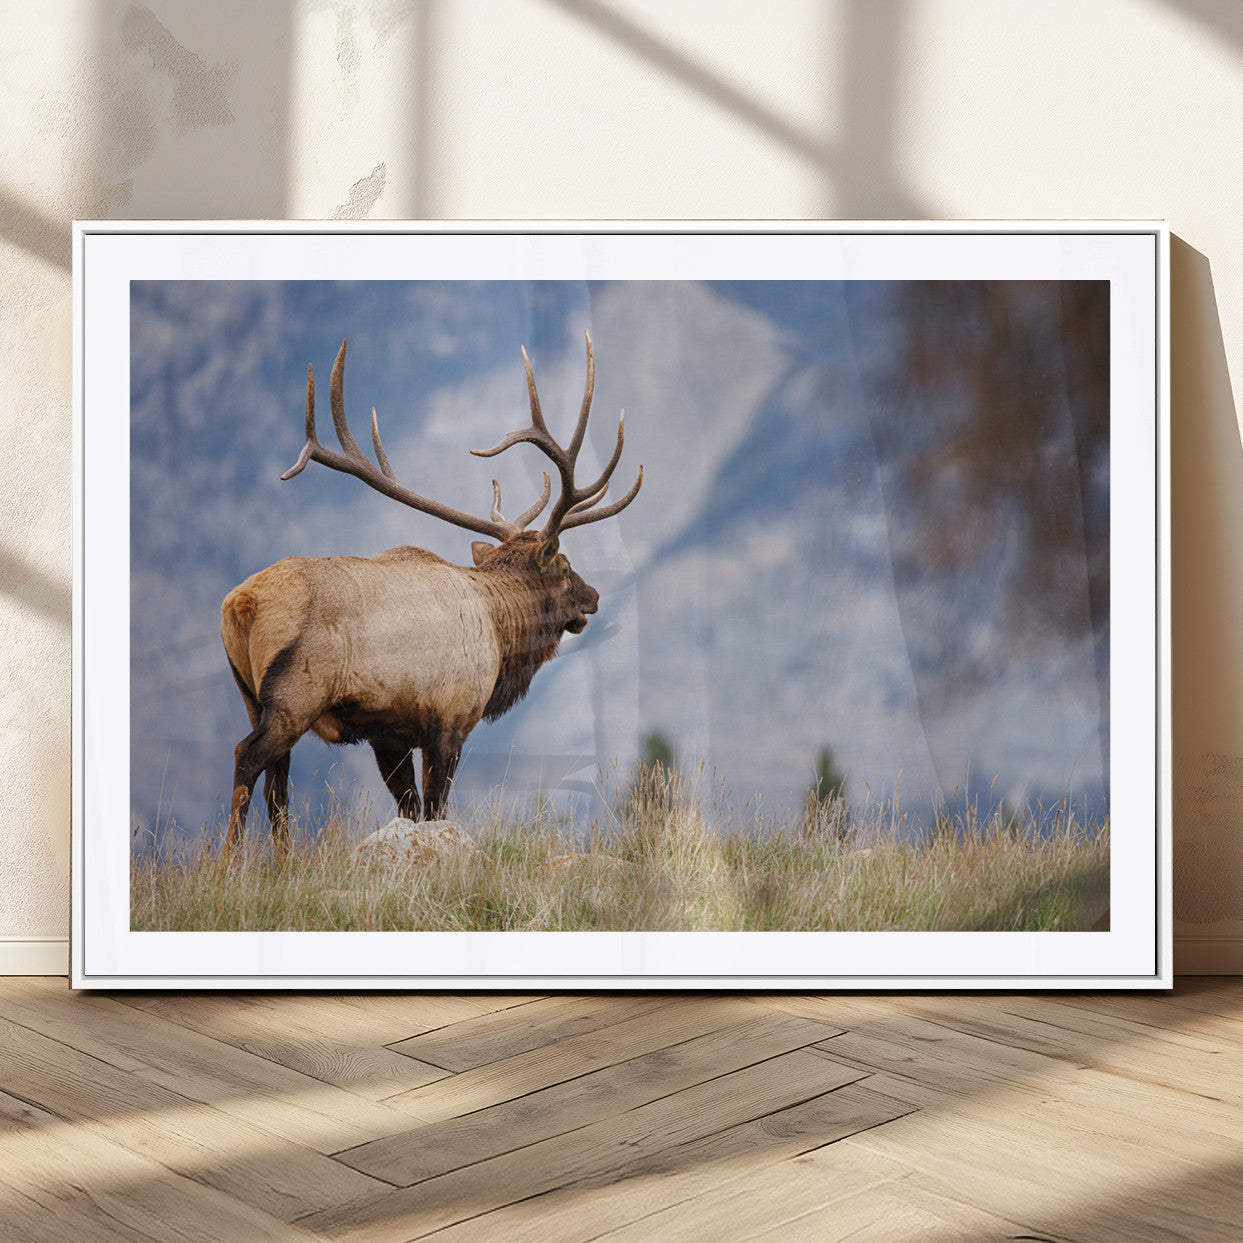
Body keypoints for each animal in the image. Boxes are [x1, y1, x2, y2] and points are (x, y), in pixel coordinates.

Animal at [219, 332, 641, 860]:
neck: (501, 635)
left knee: (278, 785)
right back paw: (227, 861)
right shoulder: (452, 717)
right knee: (247, 758)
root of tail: (241, 604)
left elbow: (411, 807)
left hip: (251, 696)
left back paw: (283, 861)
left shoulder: (389, 733)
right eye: (564, 568)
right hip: (295, 695)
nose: (594, 596)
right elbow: (437, 808)